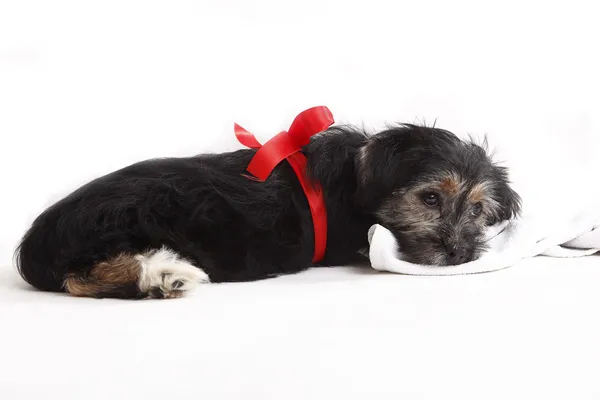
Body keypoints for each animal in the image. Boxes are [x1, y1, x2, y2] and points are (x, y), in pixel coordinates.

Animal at [14, 123, 520, 298]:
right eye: (430, 198)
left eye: (477, 210)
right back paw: (166, 275)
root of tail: (38, 242)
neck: (356, 178)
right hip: (129, 220)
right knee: (86, 277)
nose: (458, 254)